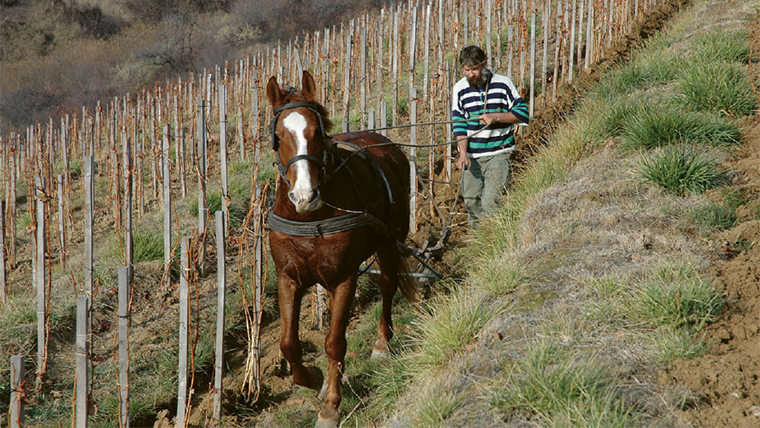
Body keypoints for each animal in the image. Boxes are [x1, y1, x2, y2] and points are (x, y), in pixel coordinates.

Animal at [266, 71, 418, 428]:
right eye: (278, 137)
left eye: (317, 132)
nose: (304, 195)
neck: (310, 217)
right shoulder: (288, 277)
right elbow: (289, 343)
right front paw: (315, 379)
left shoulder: (345, 276)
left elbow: (335, 341)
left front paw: (331, 407)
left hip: (390, 240)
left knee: (388, 285)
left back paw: (381, 345)